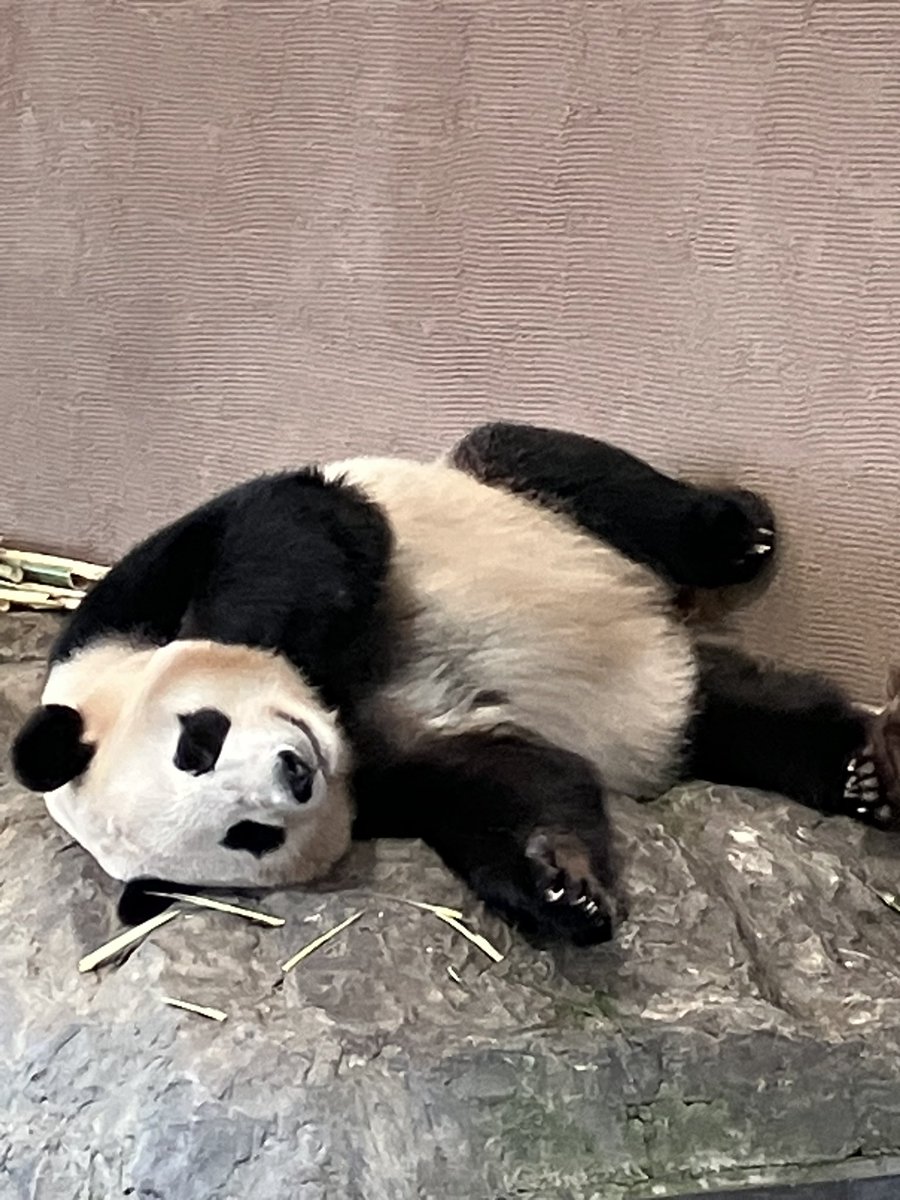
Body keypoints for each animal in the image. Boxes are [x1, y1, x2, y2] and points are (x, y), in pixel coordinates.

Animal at [11, 422, 897, 945]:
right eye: (246, 836)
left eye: (197, 740)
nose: (294, 774)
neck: (339, 713)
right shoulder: (382, 778)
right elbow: (502, 782)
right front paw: (562, 888)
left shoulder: (135, 592)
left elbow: (296, 529)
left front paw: (257, 639)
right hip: (684, 704)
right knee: (747, 716)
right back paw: (860, 771)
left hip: (518, 500)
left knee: (574, 471)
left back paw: (739, 530)